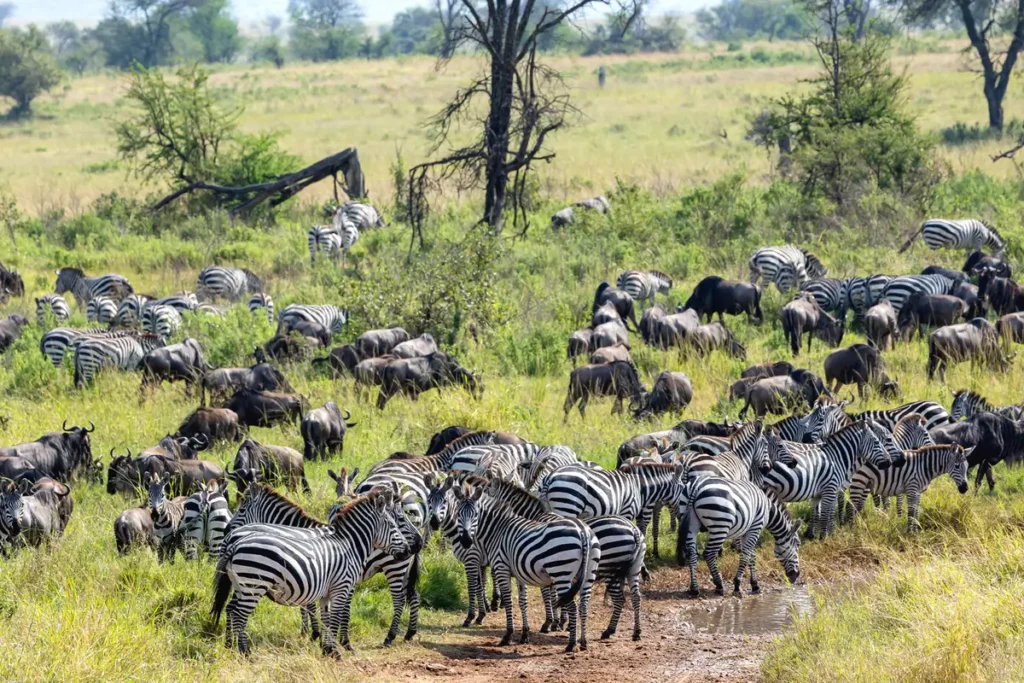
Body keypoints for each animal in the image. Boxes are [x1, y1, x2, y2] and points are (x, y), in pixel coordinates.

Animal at [211, 488, 410, 657]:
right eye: (394, 525)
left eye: (242, 509)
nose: (410, 548)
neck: (347, 544)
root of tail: (235, 542)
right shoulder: (340, 586)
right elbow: (336, 616)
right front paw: (335, 648)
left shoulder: (324, 587)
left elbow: (326, 617)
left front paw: (326, 647)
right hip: (253, 585)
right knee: (238, 614)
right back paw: (244, 652)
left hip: (242, 586)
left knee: (231, 609)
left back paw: (231, 646)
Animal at [452, 481, 600, 652]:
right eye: (458, 514)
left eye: (475, 515)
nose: (466, 541)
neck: (498, 529)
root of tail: (582, 530)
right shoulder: (519, 573)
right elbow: (523, 602)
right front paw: (524, 634)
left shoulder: (502, 568)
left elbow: (509, 600)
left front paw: (508, 635)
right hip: (589, 573)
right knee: (584, 605)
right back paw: (583, 642)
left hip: (561, 572)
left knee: (573, 606)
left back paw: (571, 644)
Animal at [762, 420, 902, 538]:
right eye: (880, 442)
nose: (891, 462)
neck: (836, 458)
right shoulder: (831, 489)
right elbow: (827, 514)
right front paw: (824, 537)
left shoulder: (821, 492)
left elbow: (820, 513)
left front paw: (814, 534)